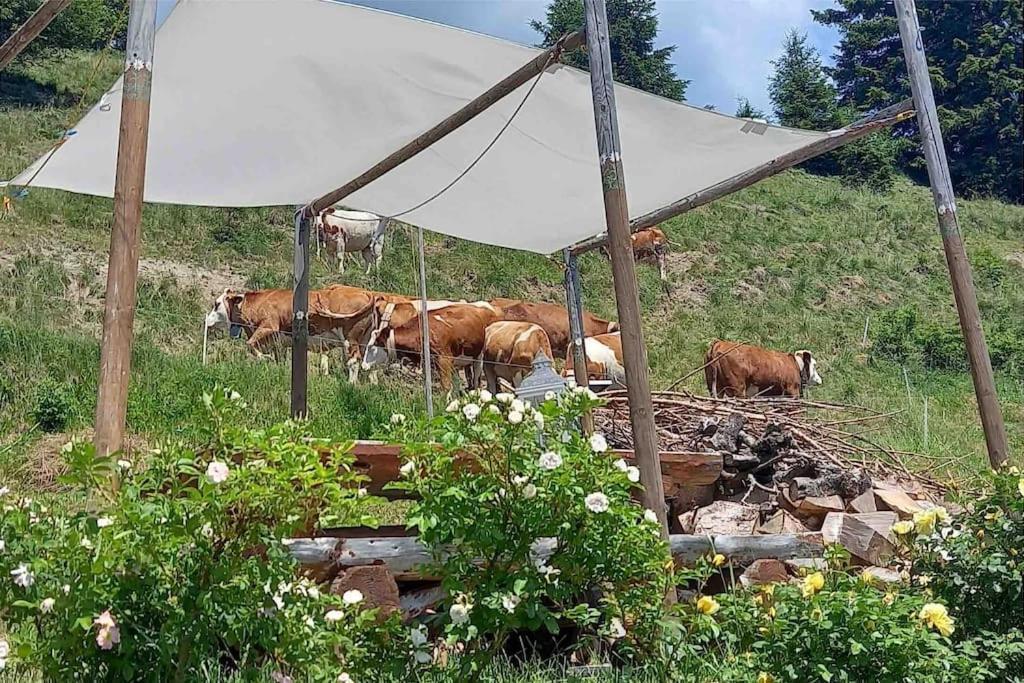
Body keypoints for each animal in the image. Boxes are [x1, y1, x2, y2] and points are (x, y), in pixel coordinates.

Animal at [362, 301, 501, 393]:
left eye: (373, 346)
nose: (363, 366)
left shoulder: (444, 359)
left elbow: (446, 386)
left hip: (479, 357)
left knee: (477, 379)